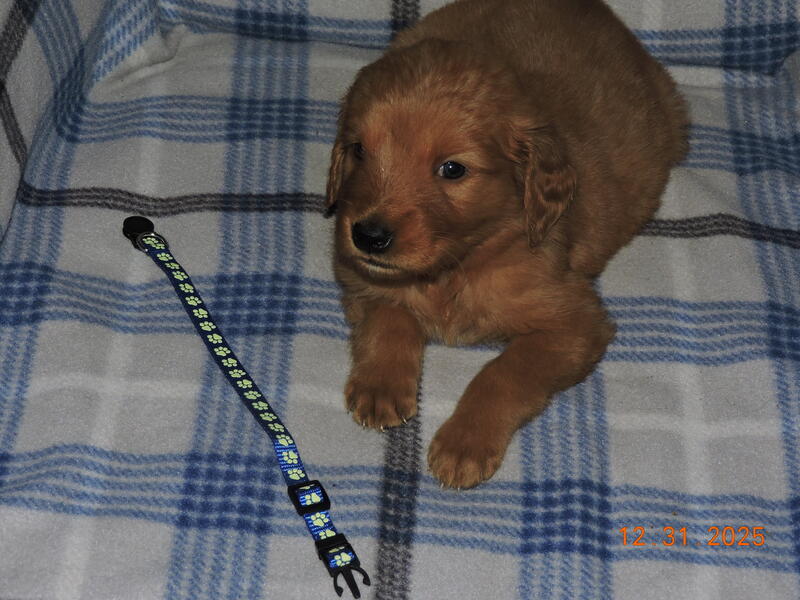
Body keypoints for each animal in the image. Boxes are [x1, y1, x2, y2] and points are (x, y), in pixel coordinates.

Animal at [326, 0, 688, 489]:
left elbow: (504, 371)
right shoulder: (357, 277)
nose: (367, 236)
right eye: (359, 150)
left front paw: (465, 442)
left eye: (452, 169)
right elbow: (388, 317)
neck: (455, 268)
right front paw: (380, 384)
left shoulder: (575, 323)